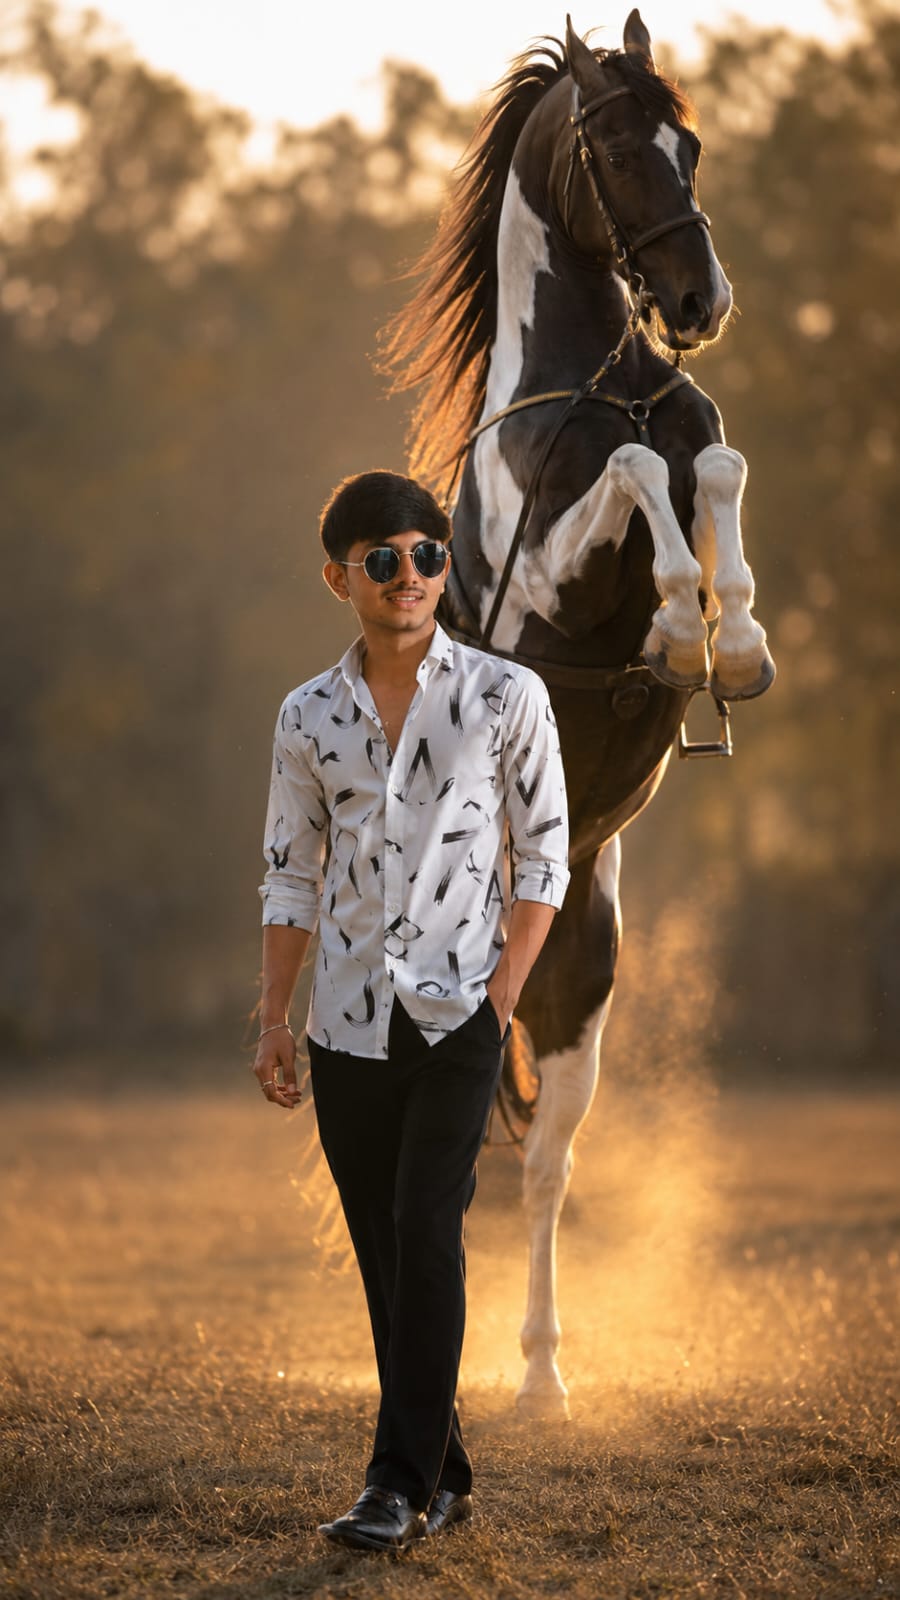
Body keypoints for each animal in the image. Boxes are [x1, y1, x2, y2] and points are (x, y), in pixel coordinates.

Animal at [380, 10, 774, 1417]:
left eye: (691, 142)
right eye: (612, 146)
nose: (703, 303)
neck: (592, 379)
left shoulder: (698, 436)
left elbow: (713, 458)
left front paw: (734, 636)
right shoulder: (552, 573)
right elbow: (639, 470)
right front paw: (681, 621)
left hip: (577, 980)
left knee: (543, 1164)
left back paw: (545, 1375)